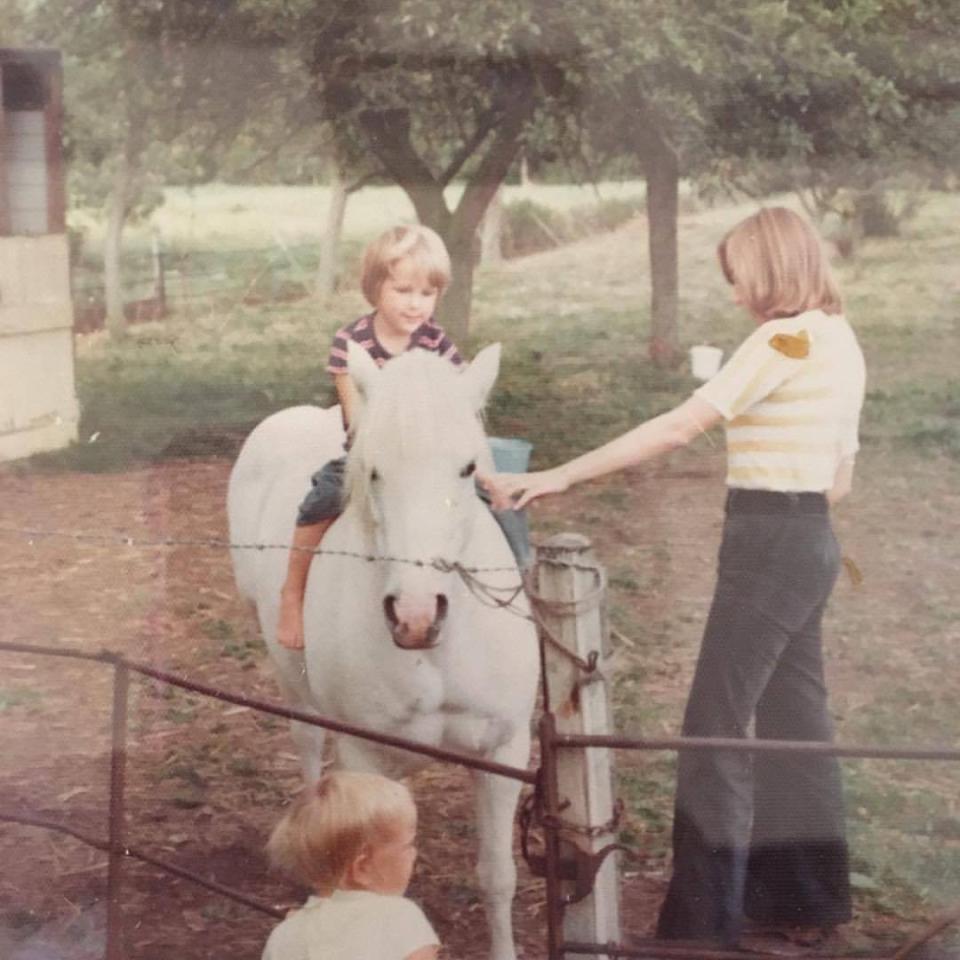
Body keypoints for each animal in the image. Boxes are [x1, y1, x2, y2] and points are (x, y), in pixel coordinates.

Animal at [226, 344, 540, 960]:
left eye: (468, 469)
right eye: (373, 471)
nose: (416, 617)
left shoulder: (505, 751)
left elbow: (497, 876)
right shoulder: (365, 755)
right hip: (289, 675)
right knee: (306, 745)